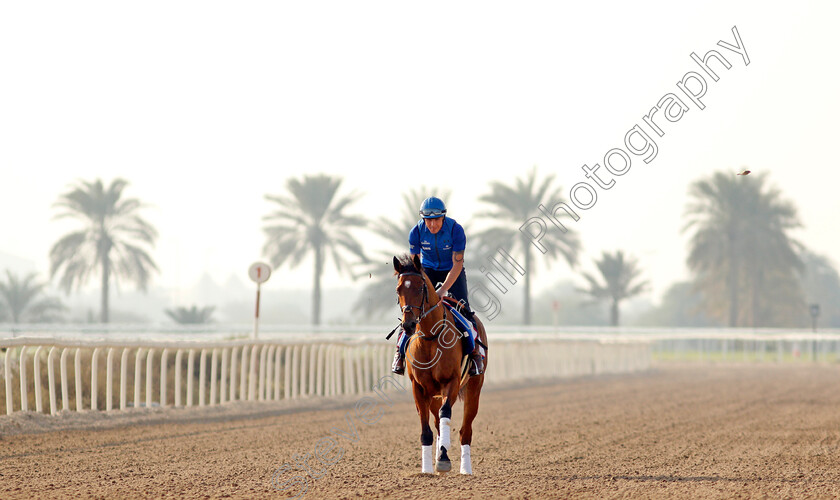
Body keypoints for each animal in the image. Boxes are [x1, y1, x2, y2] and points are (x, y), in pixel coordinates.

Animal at [392, 256, 486, 474]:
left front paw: (443, 459)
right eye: (398, 289)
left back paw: (465, 469)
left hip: (473, 388)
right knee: (436, 423)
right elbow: (426, 428)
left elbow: (446, 415)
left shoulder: (451, 382)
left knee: (465, 430)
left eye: (420, 288)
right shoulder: (418, 388)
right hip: (433, 394)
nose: (408, 325)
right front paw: (427, 468)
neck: (430, 337)